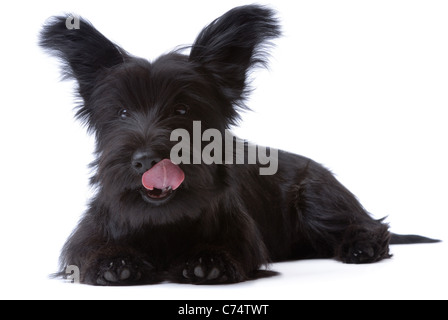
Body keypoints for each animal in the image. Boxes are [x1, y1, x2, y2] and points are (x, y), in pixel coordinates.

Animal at [40, 5, 440, 284]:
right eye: (121, 112)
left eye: (182, 109)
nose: (145, 160)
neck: (163, 216)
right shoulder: (87, 236)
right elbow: (88, 251)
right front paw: (116, 262)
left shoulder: (242, 235)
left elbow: (229, 249)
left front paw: (208, 260)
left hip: (317, 197)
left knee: (371, 227)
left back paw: (361, 245)